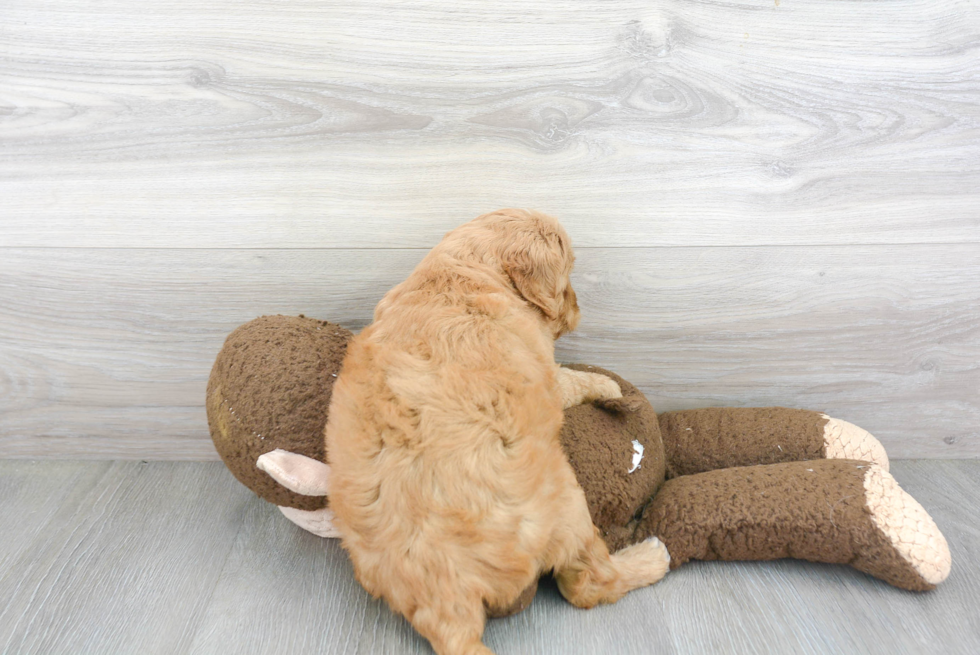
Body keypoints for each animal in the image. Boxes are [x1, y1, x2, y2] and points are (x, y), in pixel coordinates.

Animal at [326, 210, 668, 655]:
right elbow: (574, 379)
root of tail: (450, 609)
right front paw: (608, 387)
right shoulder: (548, 375)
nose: (577, 309)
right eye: (568, 272)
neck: (462, 270)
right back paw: (651, 557)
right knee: (588, 584)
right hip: (568, 506)